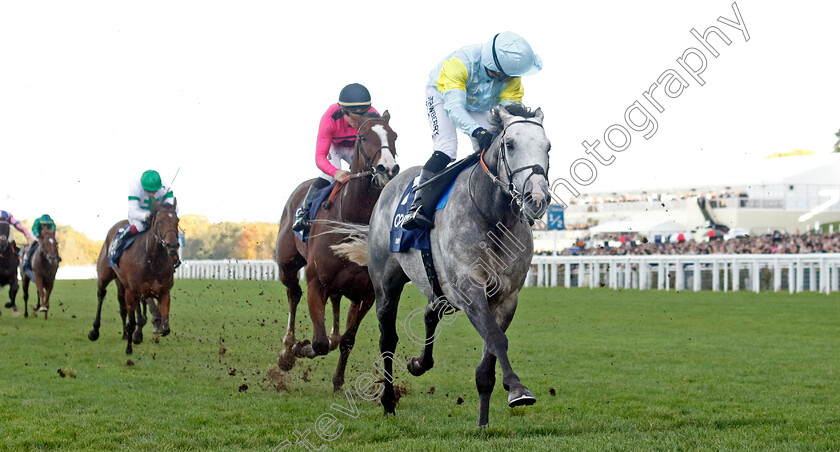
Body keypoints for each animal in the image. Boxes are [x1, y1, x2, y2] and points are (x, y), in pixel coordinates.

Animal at [88, 200, 180, 354]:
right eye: (159, 222)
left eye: (177, 220)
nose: (172, 245)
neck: (152, 259)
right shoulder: (132, 292)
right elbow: (133, 322)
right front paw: (129, 348)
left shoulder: (163, 292)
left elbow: (165, 327)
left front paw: (150, 332)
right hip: (104, 276)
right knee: (101, 294)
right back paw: (95, 330)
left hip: (121, 284)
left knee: (124, 307)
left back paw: (128, 334)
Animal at [272, 110, 398, 392]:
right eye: (363, 137)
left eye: (394, 135)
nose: (388, 168)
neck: (351, 218)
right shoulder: (316, 282)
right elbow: (318, 343)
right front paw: (299, 348)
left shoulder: (366, 294)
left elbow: (346, 340)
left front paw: (338, 380)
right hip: (287, 265)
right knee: (293, 294)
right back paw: (287, 350)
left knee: (336, 309)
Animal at [332, 104, 556, 426]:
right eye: (511, 144)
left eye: (547, 147)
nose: (536, 197)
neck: (492, 216)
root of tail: (390, 184)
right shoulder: (469, 288)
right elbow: (496, 339)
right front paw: (517, 389)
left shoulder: (506, 296)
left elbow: (489, 353)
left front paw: (483, 421)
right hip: (386, 283)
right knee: (388, 339)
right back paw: (388, 401)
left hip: (436, 286)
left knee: (430, 313)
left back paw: (418, 364)